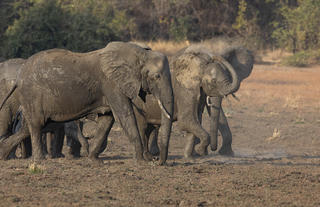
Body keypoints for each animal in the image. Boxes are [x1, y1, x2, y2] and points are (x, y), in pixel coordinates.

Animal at [0, 41, 174, 165]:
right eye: (157, 77)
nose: (156, 161)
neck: (139, 53)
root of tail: (19, 76)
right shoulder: (112, 84)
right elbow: (124, 116)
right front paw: (141, 162)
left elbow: (107, 120)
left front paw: (95, 161)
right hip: (32, 95)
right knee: (36, 125)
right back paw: (39, 161)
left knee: (29, 127)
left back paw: (4, 155)